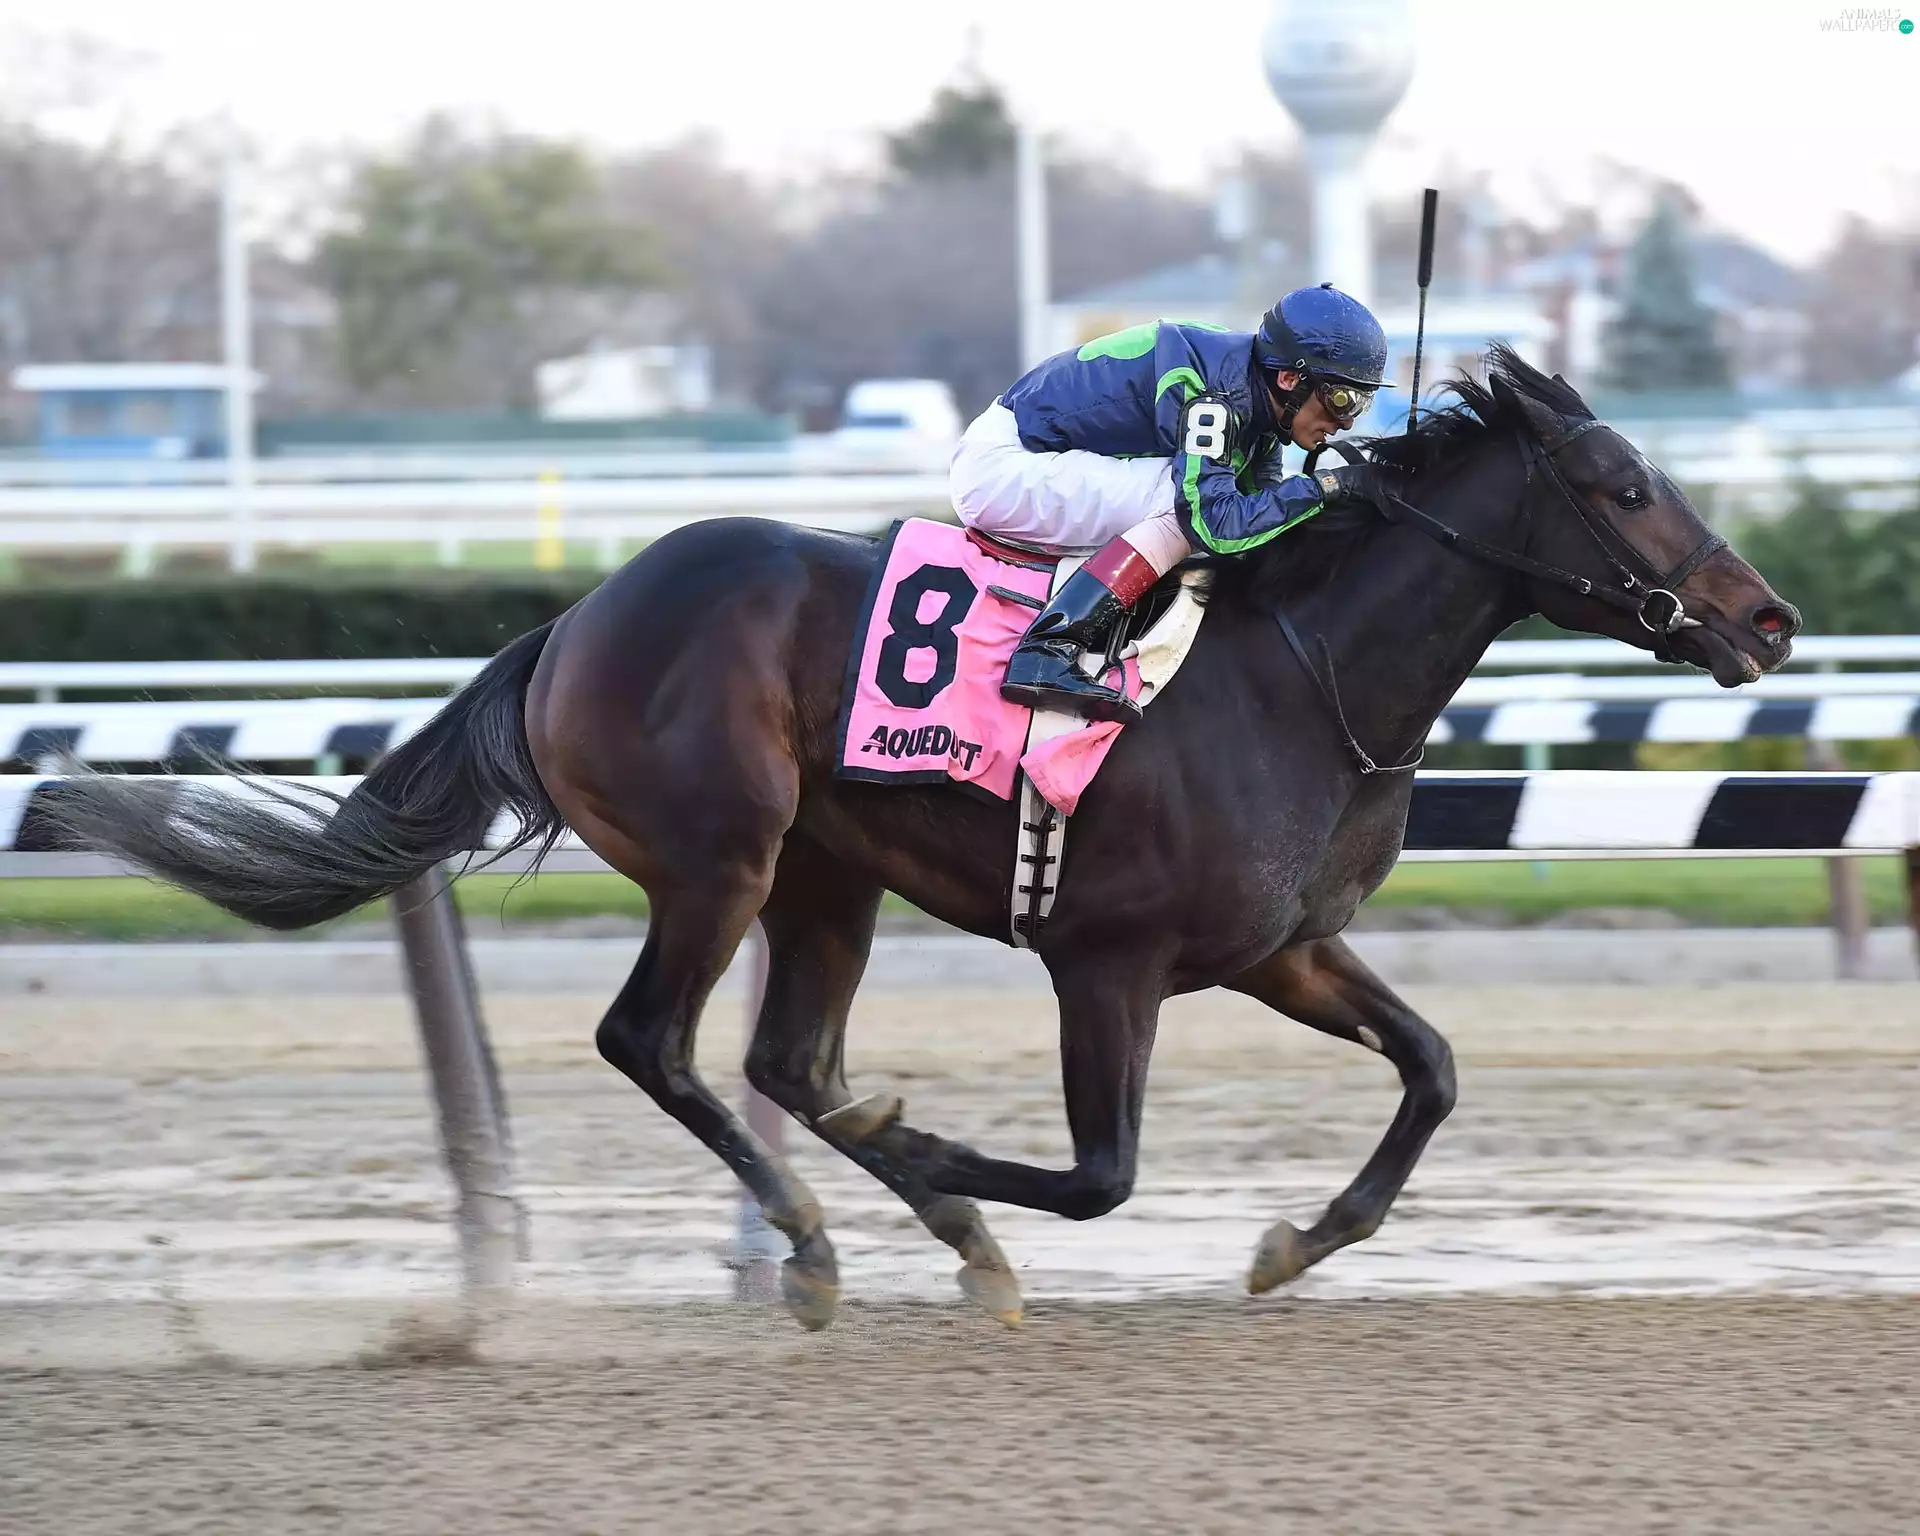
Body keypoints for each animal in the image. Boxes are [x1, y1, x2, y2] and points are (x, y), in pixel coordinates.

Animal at [53, 347, 1799, 1331]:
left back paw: (918, 1230)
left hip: (826, 878)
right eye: (1622, 485)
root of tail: (576, 619)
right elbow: (1098, 1177)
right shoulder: (1108, 962)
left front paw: (1297, 1244)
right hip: (723, 858)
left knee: (783, 1059)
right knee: (656, 1042)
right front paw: (946, 1157)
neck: (1299, 677)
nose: (1769, 619)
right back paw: (825, 1241)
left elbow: (1431, 1068)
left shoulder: (1285, 949)